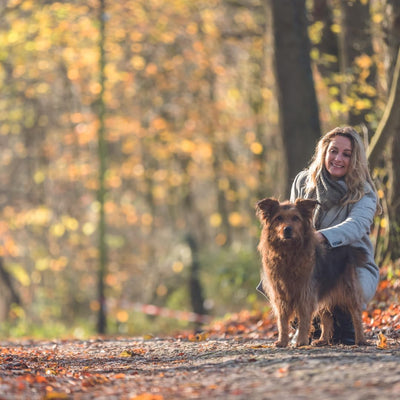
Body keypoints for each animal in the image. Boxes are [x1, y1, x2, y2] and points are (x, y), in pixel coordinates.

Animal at [258, 198, 368, 346]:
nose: (287, 229)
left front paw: (301, 341)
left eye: (296, 218)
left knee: (356, 313)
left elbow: (304, 318)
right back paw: (323, 340)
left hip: (349, 289)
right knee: (327, 317)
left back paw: (360, 339)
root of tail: (347, 248)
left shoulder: (306, 292)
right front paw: (282, 341)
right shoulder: (280, 295)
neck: (288, 252)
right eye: (279, 218)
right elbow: (282, 321)